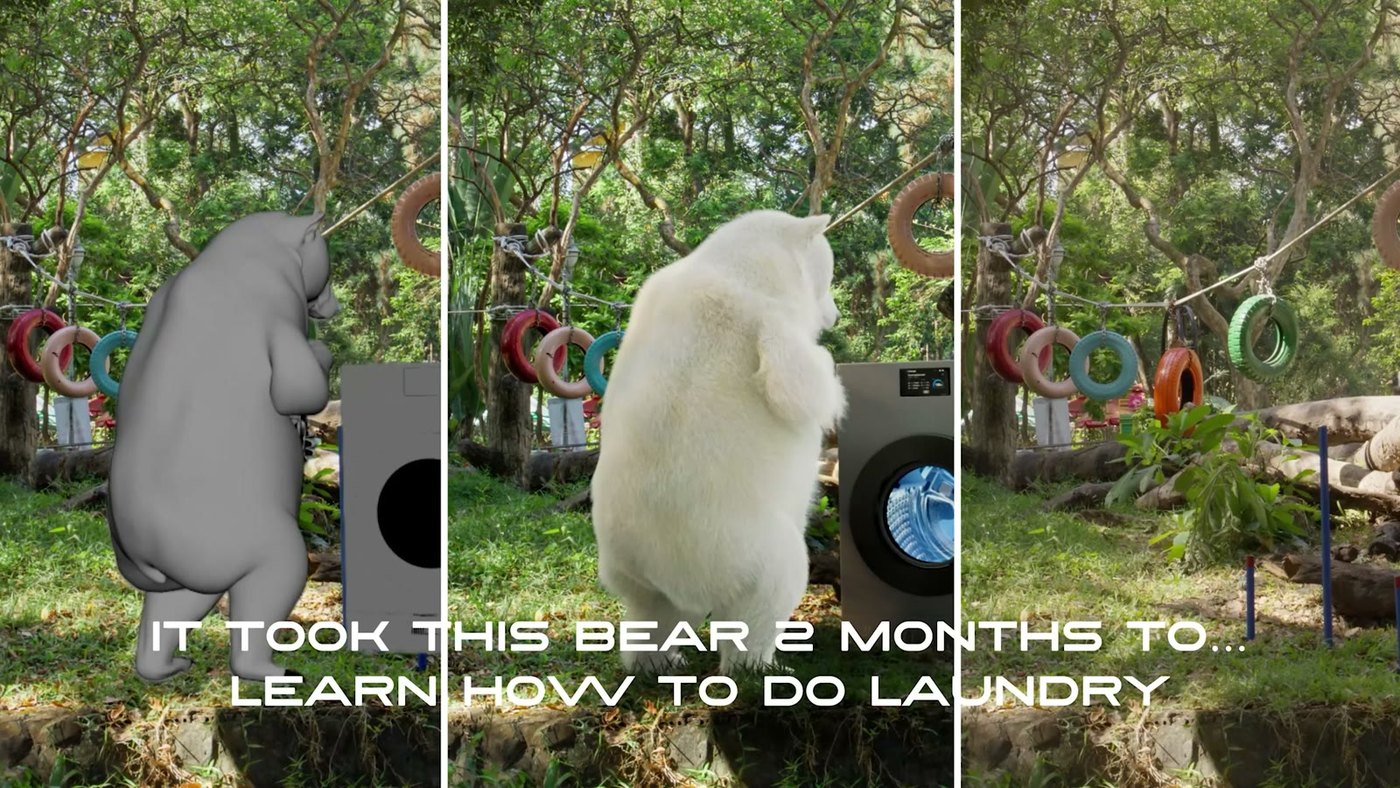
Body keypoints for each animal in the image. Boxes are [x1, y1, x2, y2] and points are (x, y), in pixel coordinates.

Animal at [107, 211, 338, 682]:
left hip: (193, 566)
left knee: (176, 606)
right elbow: (299, 387)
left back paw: (164, 667)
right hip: (248, 539)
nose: (334, 305)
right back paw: (271, 670)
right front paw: (319, 357)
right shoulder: (280, 306)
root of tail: (140, 552)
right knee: (270, 584)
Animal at [589, 210, 846, 675]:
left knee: (651, 613)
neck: (737, 266)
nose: (834, 316)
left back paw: (654, 659)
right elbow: (802, 388)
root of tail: (663, 565)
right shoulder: (771, 320)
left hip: (627, 569)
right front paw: (828, 368)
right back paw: (763, 666)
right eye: (828, 272)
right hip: (744, 552)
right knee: (763, 603)